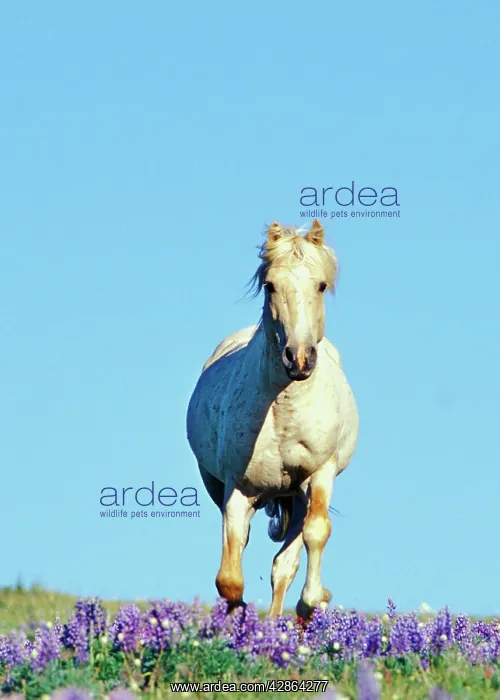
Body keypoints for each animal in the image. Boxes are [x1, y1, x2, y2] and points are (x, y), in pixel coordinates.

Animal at [186, 219, 359, 618]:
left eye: (321, 285)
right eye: (270, 285)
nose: (299, 358)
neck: (284, 410)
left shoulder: (320, 474)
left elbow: (315, 533)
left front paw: (312, 601)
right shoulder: (237, 490)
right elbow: (230, 581)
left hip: (297, 494)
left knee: (286, 564)